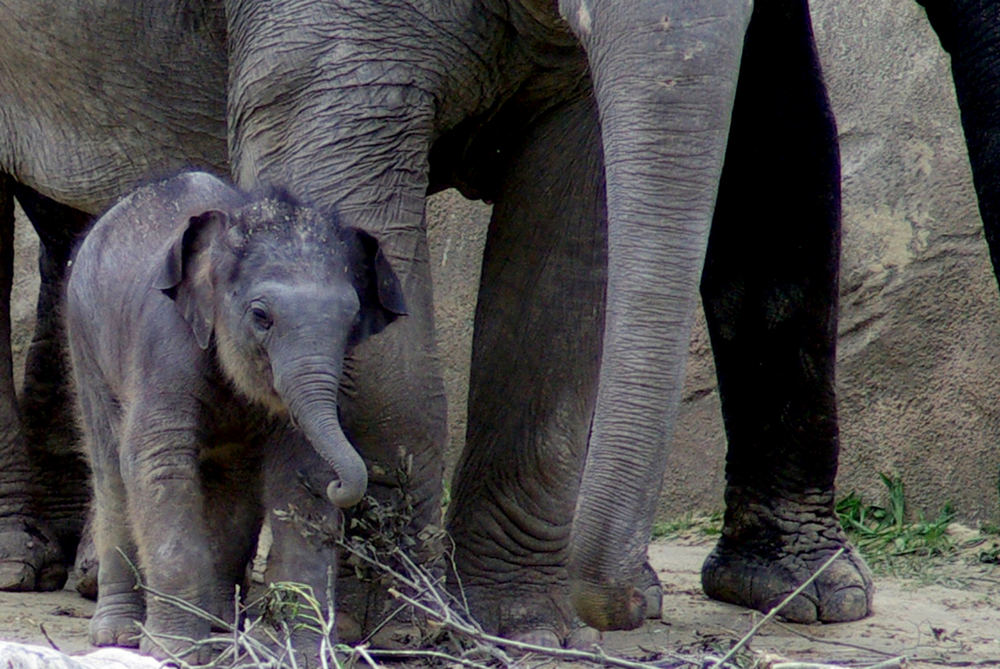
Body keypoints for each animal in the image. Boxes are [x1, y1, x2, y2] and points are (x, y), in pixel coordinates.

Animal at [65, 171, 406, 656]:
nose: (347, 486)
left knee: (232, 484)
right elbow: (158, 463)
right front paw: (174, 653)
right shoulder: (162, 341)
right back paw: (120, 635)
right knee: (110, 470)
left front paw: (307, 654)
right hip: (85, 341)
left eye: (352, 320)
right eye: (261, 316)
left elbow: (304, 471)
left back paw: (221, 629)